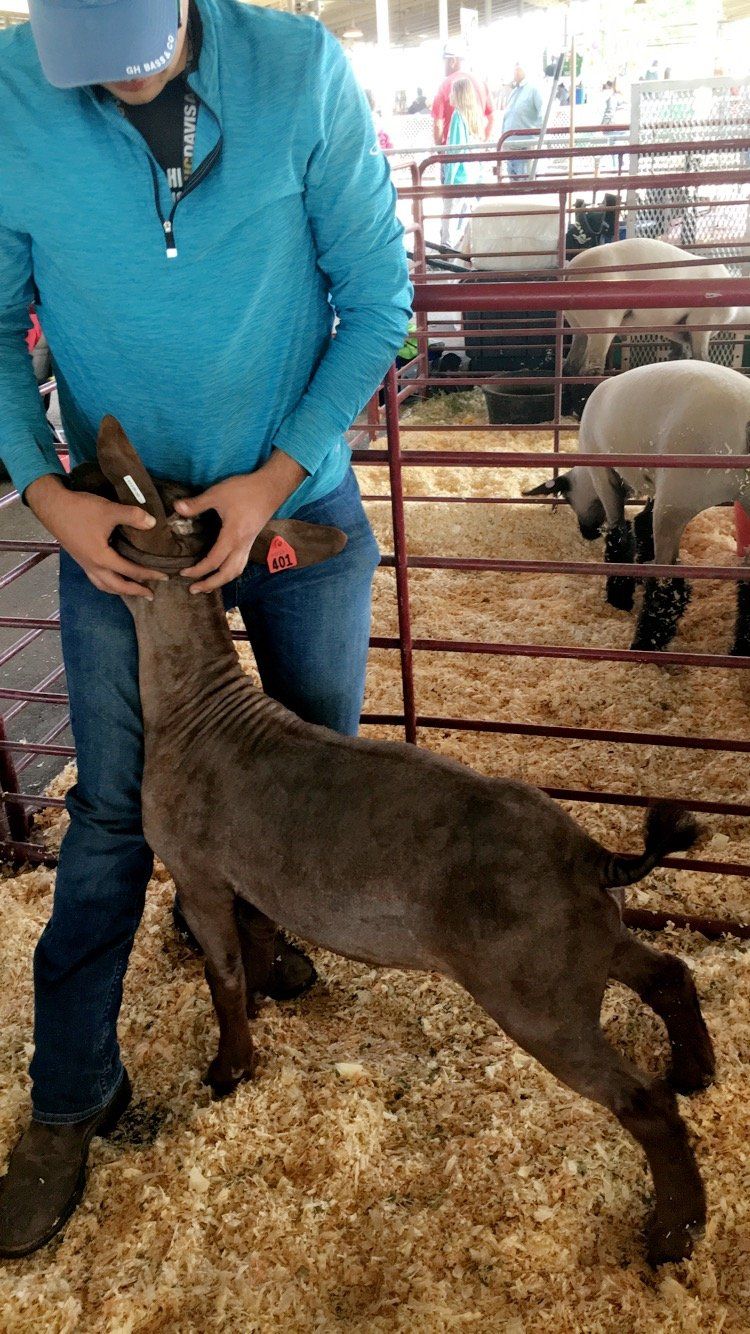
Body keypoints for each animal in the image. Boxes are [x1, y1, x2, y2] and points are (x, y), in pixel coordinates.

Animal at [73, 415, 718, 1266]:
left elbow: (224, 976)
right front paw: (277, 989)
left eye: (119, 488)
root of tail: (587, 854)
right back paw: (698, 1070)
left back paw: (675, 1230)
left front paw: (231, 1067)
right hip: (581, 947)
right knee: (667, 973)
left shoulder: (198, 871)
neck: (198, 708)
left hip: (537, 992)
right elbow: (258, 941)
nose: (70, 471)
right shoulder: (252, 878)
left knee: (642, 1100)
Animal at [526, 360, 750, 653]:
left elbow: (619, 537)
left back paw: (645, 644)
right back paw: (741, 649)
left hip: (678, 498)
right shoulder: (654, 479)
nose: (586, 532)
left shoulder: (605, 478)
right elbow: (643, 525)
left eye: (567, 498)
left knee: (668, 584)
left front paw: (619, 598)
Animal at [563, 238, 737, 378]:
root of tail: (572, 272)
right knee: (594, 362)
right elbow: (699, 354)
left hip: (577, 322)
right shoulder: (703, 319)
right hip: (604, 319)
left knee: (575, 355)